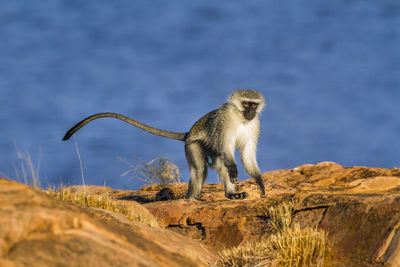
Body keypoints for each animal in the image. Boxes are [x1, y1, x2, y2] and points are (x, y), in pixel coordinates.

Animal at [62, 89, 266, 199]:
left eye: (253, 105)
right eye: (246, 104)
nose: (250, 112)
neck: (241, 119)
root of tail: (188, 133)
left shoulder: (254, 124)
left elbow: (247, 154)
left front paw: (260, 183)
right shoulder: (225, 122)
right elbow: (226, 149)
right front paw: (235, 170)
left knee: (218, 166)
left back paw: (230, 195)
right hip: (193, 145)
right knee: (201, 170)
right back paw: (192, 199)